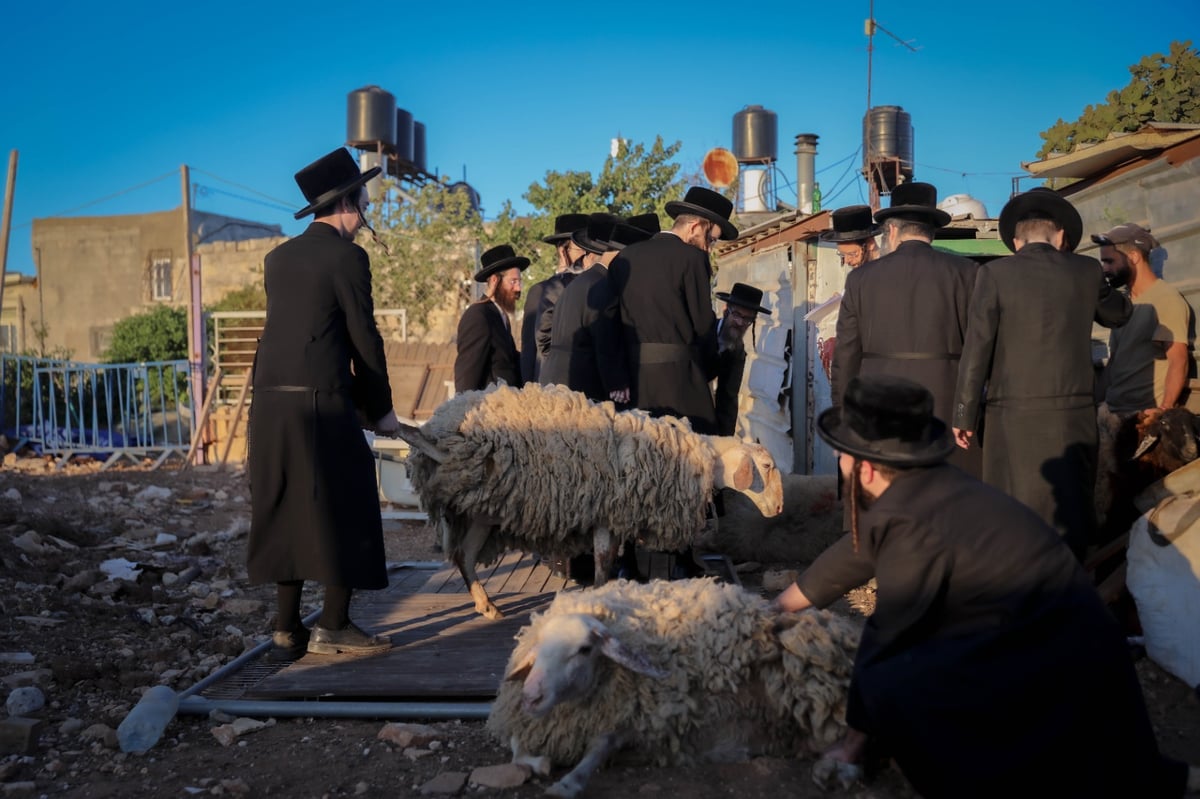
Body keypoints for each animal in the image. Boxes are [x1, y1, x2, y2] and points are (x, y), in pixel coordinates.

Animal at [396, 383, 787, 619]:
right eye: (767, 467)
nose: (780, 509)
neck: (694, 456)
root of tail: (443, 415)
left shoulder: (610, 516)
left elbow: (607, 561)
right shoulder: (606, 513)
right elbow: (603, 564)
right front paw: (599, 600)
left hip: (481, 507)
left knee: (464, 555)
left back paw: (486, 605)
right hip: (465, 457)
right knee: (433, 449)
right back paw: (404, 430)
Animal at [487, 575, 864, 791]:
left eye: (584, 649)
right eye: (538, 648)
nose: (531, 696)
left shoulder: (636, 718)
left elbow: (599, 747)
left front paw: (567, 783)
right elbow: (518, 749)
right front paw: (538, 764)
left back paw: (838, 771)